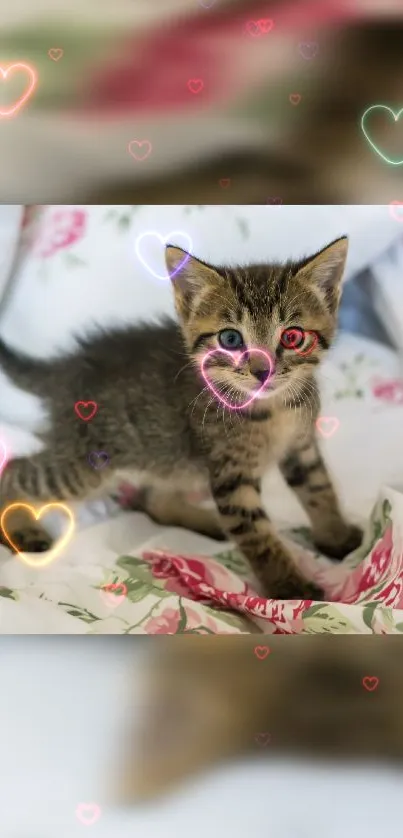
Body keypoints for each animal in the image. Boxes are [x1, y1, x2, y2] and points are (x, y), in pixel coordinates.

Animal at [0, 240, 362, 600]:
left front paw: (337, 537)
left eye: (292, 337)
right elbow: (258, 535)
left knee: (154, 499)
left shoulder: (301, 447)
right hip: (87, 464)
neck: (274, 409)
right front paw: (291, 588)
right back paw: (21, 531)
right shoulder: (232, 475)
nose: (263, 371)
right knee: (15, 471)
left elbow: (320, 489)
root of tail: (67, 368)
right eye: (231, 339)